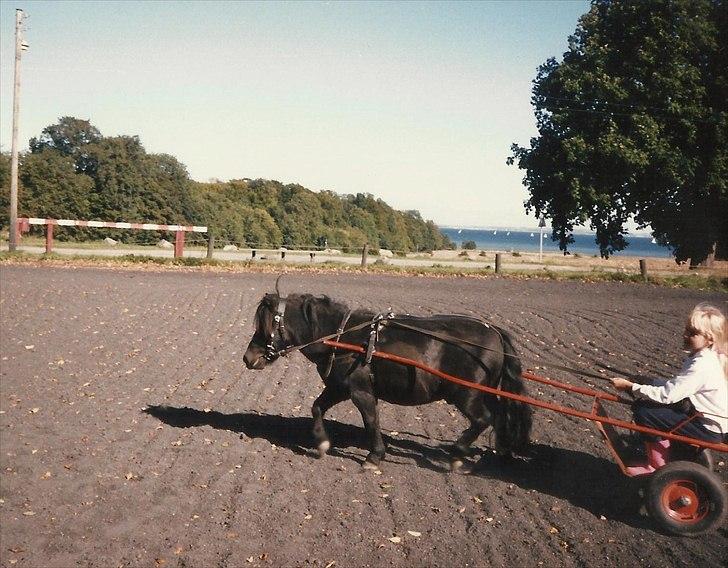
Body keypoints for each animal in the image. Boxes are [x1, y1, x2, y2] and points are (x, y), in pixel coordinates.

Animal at [242, 292, 532, 470]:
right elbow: (317, 407)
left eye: (266, 326)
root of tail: (495, 333)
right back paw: (501, 453)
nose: (248, 357)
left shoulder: (361, 392)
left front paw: (374, 456)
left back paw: (458, 455)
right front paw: (322, 442)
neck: (345, 338)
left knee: (483, 419)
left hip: (466, 394)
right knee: (500, 417)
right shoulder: (339, 388)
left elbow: (371, 421)